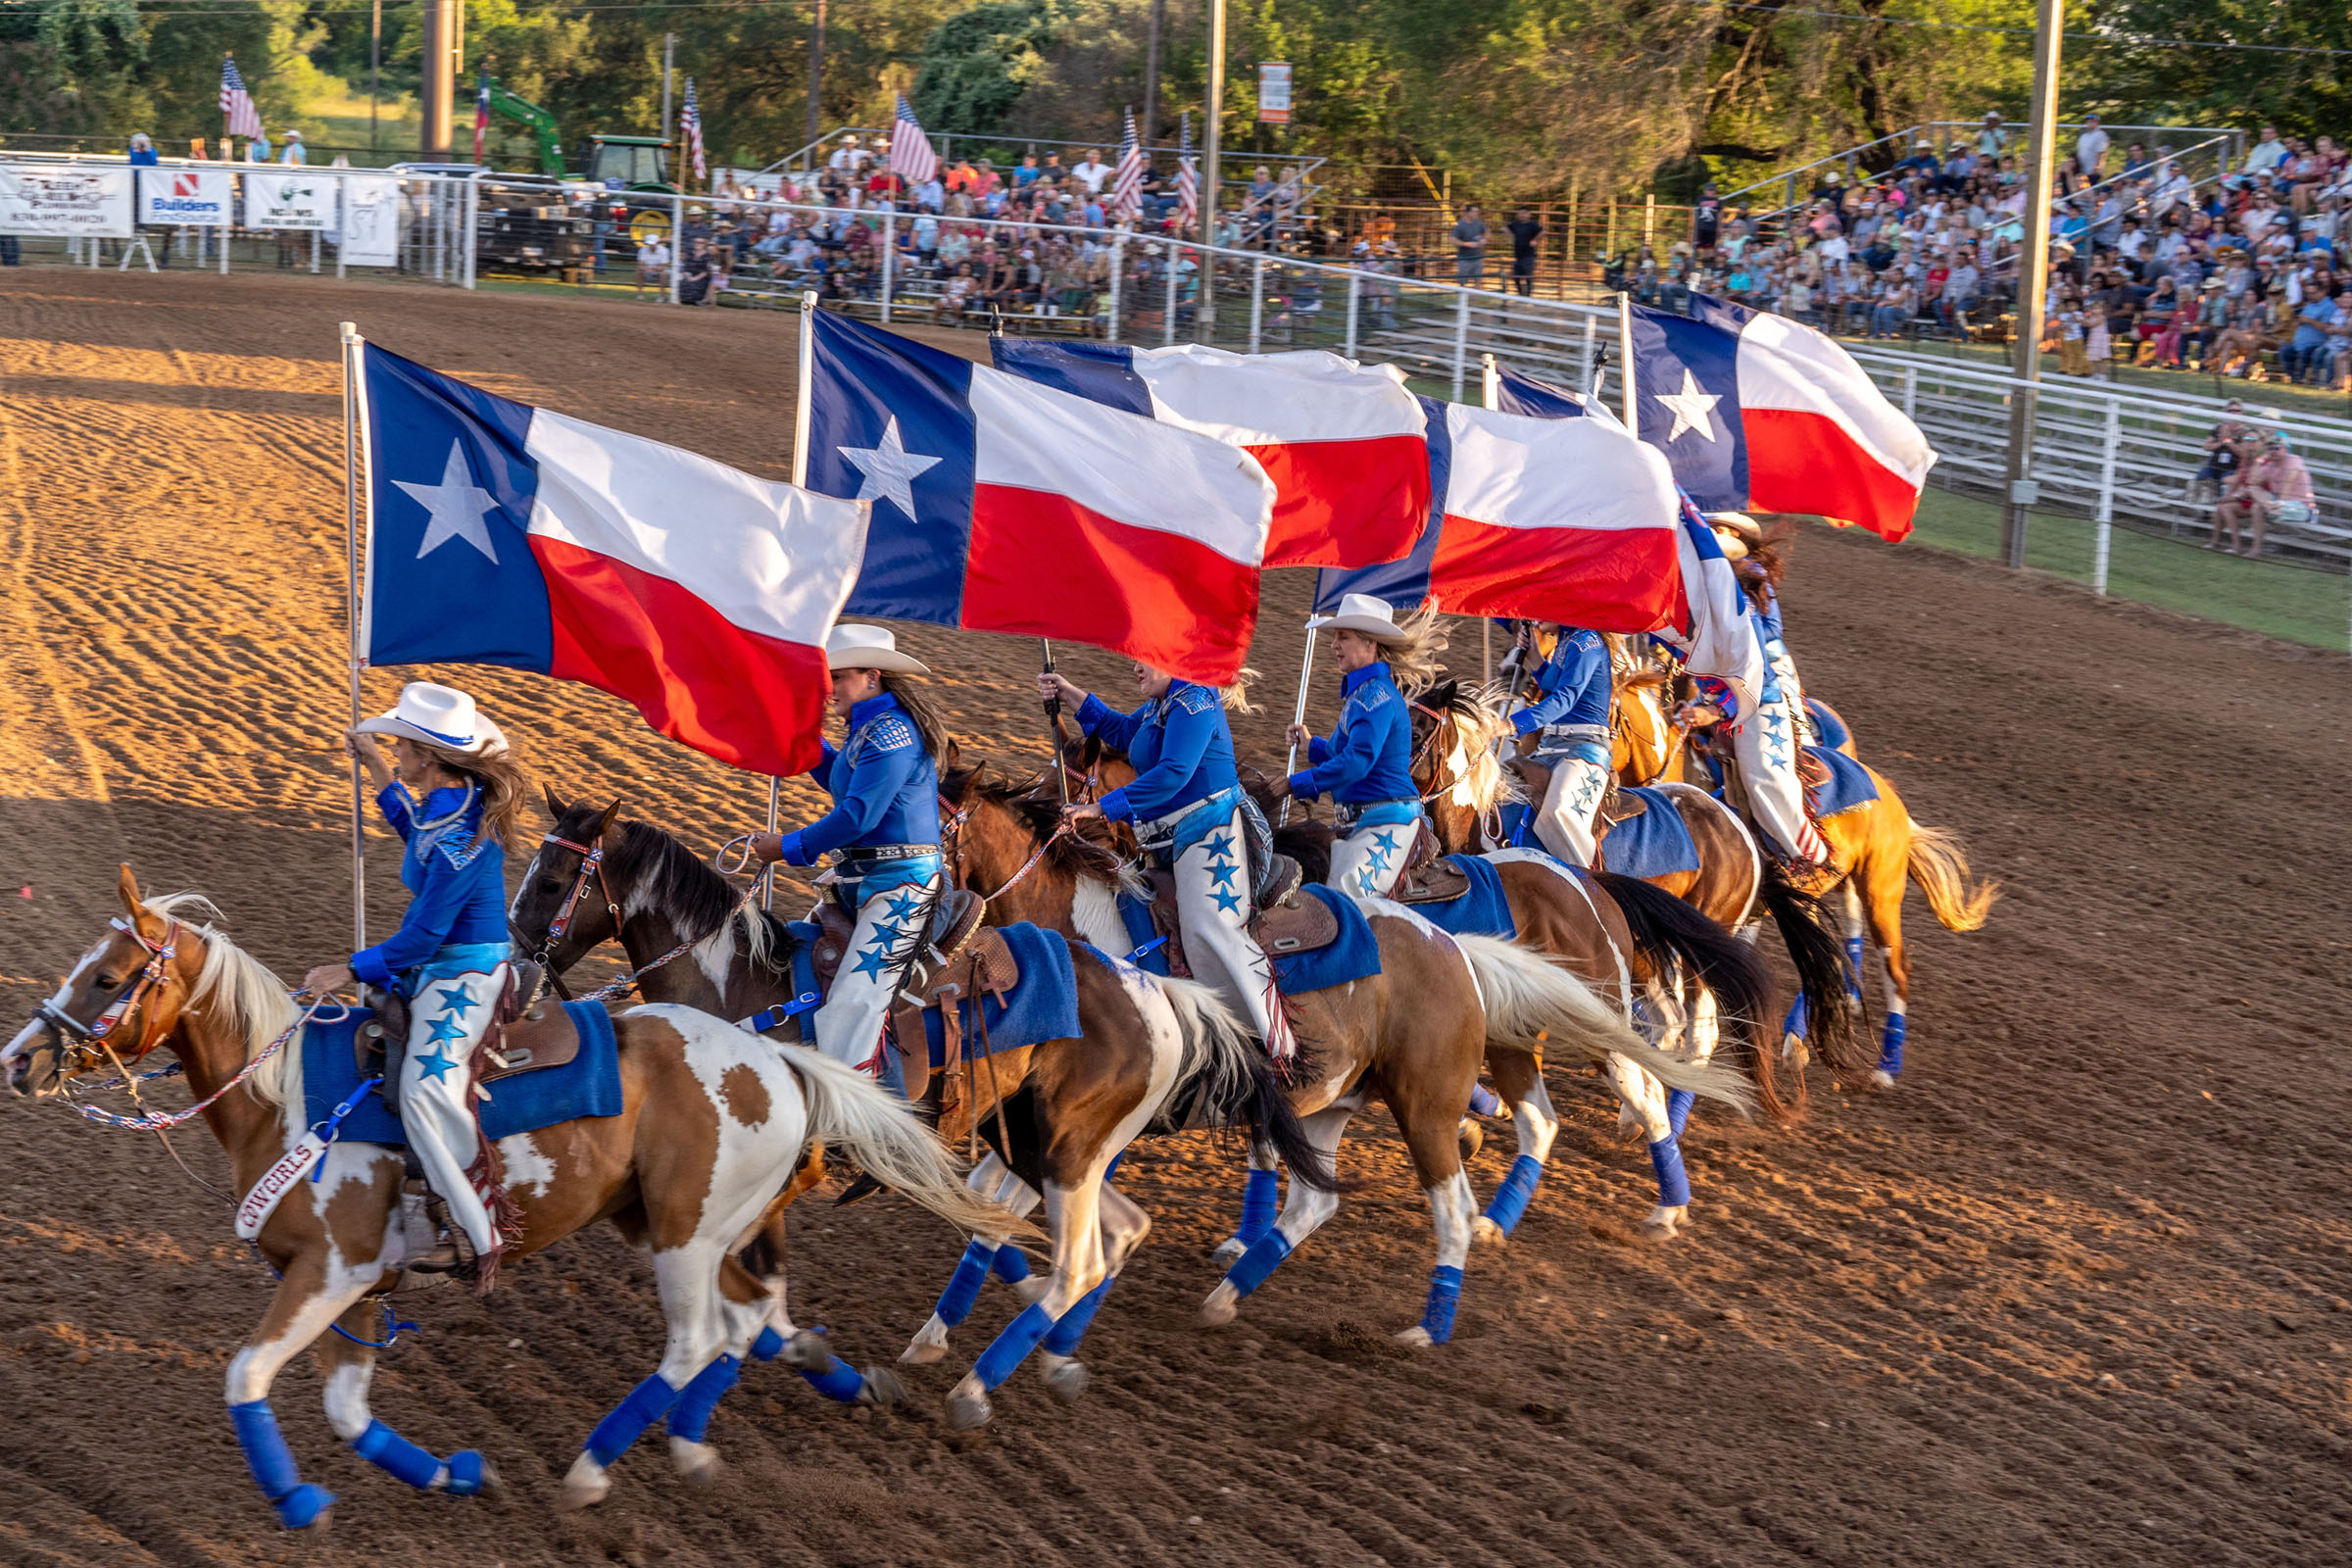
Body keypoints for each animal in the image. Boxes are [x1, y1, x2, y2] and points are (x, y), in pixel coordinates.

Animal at [0, 864, 1015, 1523]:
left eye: (108, 976)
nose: (19, 1059)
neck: (287, 1100)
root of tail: (779, 1059)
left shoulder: (330, 1273)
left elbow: (244, 1376)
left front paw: (294, 1499)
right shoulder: (358, 1288)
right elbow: (349, 1413)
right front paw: (454, 1476)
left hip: (686, 1235)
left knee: (699, 1341)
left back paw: (591, 1470)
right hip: (687, 1225)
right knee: (746, 1320)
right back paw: (706, 1439)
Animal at [506, 804, 1336, 1429]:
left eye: (552, 879)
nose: (515, 972)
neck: (742, 992)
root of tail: (1158, 991)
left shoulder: (772, 1180)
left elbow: (756, 1299)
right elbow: (766, 1302)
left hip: (1067, 1152)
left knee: (1079, 1263)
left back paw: (974, 1389)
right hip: (1042, 1145)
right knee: (1118, 1232)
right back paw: (1044, 1356)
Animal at [936, 752, 1749, 1335]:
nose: (932, 924)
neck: (1095, 930)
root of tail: (1590, 884)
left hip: (1581, 1028)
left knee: (1642, 1088)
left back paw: (1655, 1209)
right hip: (1499, 1047)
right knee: (1541, 1121)